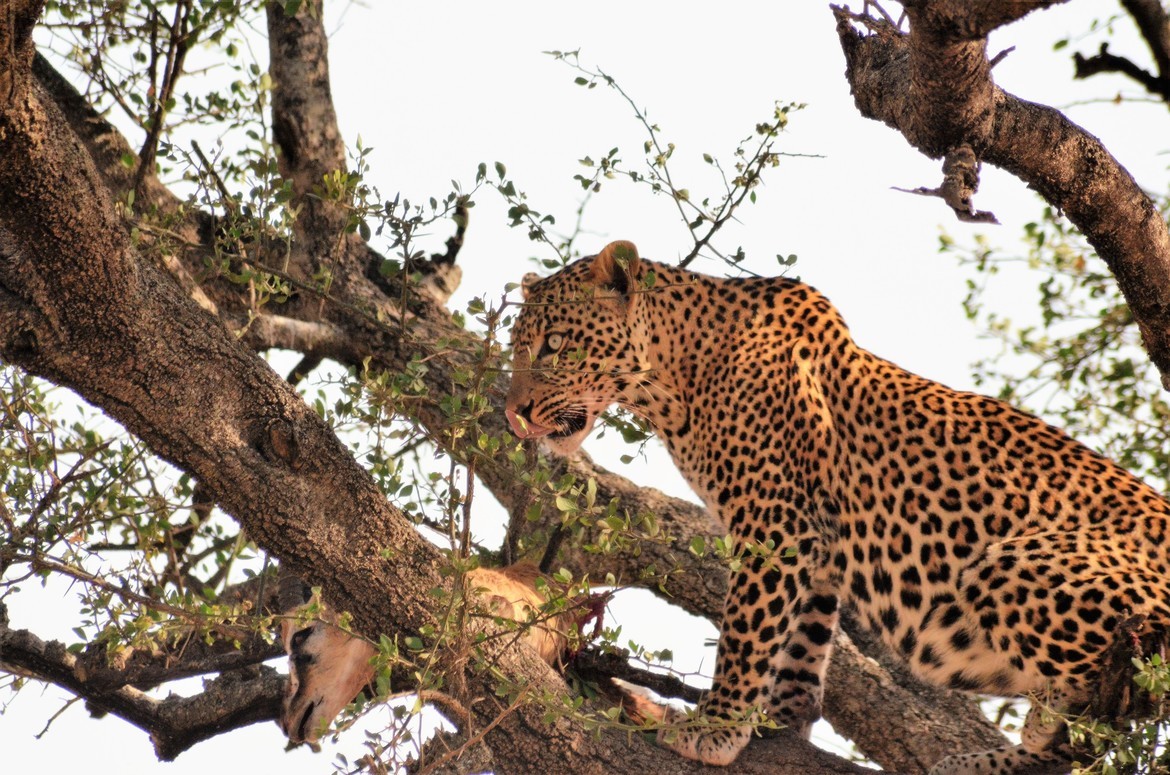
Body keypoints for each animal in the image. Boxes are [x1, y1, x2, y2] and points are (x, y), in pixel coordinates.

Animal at [503, 240, 1170, 774]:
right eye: (516, 349)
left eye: (554, 346)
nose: (513, 414)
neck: (675, 377)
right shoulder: (816, 541)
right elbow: (802, 635)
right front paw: (781, 719)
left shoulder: (774, 524)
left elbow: (746, 629)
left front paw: (713, 728)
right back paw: (977, 760)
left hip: (1010, 563)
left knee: (1104, 715)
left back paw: (1033, 730)